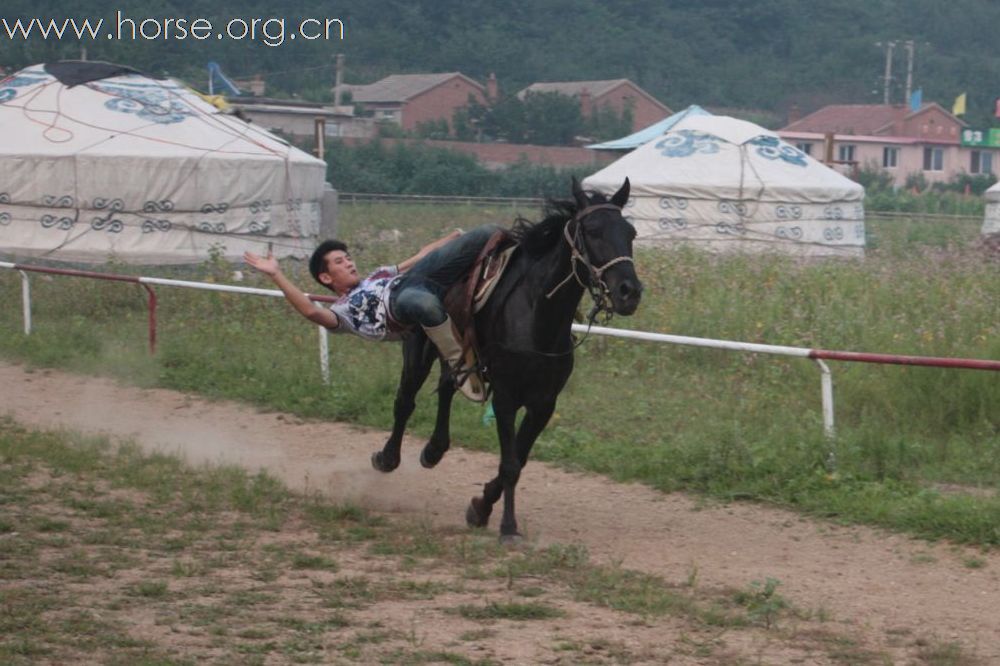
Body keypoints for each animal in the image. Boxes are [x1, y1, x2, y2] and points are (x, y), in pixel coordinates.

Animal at [370, 179, 640, 544]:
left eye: (631, 232)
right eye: (593, 230)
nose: (630, 291)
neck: (536, 316)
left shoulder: (544, 404)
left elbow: (518, 460)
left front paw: (481, 507)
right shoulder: (506, 397)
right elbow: (510, 463)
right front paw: (508, 526)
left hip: (458, 356)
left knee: (445, 387)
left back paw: (434, 449)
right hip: (417, 348)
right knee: (405, 401)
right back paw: (387, 458)